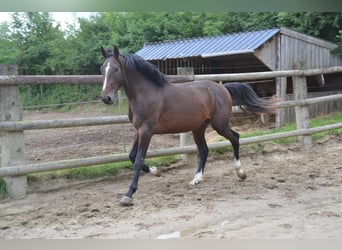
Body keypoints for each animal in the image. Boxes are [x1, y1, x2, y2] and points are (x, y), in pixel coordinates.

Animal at [99, 46, 276, 206]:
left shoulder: (147, 130)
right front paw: (157, 171)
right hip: (199, 127)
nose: (106, 98)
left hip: (219, 124)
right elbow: (132, 156)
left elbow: (138, 160)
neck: (147, 94)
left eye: (116, 68)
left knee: (235, 138)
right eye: (102, 68)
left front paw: (128, 195)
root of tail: (223, 87)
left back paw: (241, 173)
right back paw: (196, 180)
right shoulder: (138, 130)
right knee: (204, 150)